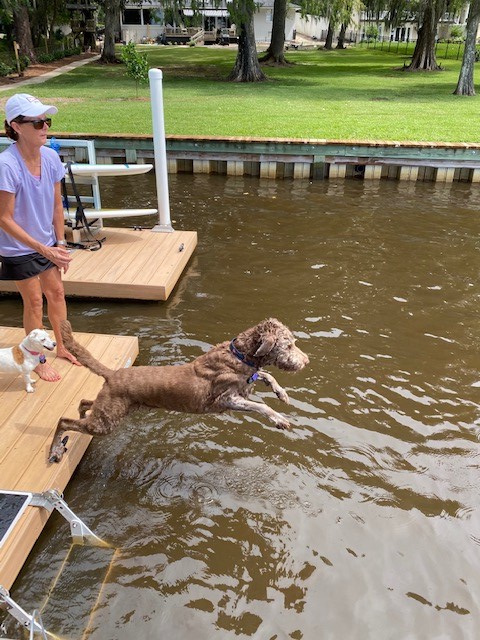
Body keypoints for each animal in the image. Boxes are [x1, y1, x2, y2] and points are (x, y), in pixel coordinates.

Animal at [48, 318, 310, 462]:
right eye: (289, 345)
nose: (306, 361)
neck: (239, 356)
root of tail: (113, 373)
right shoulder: (226, 399)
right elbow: (261, 406)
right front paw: (279, 419)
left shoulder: (247, 384)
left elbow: (266, 375)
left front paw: (282, 394)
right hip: (106, 422)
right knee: (63, 420)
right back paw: (55, 450)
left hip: (112, 409)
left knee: (84, 402)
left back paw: (80, 413)